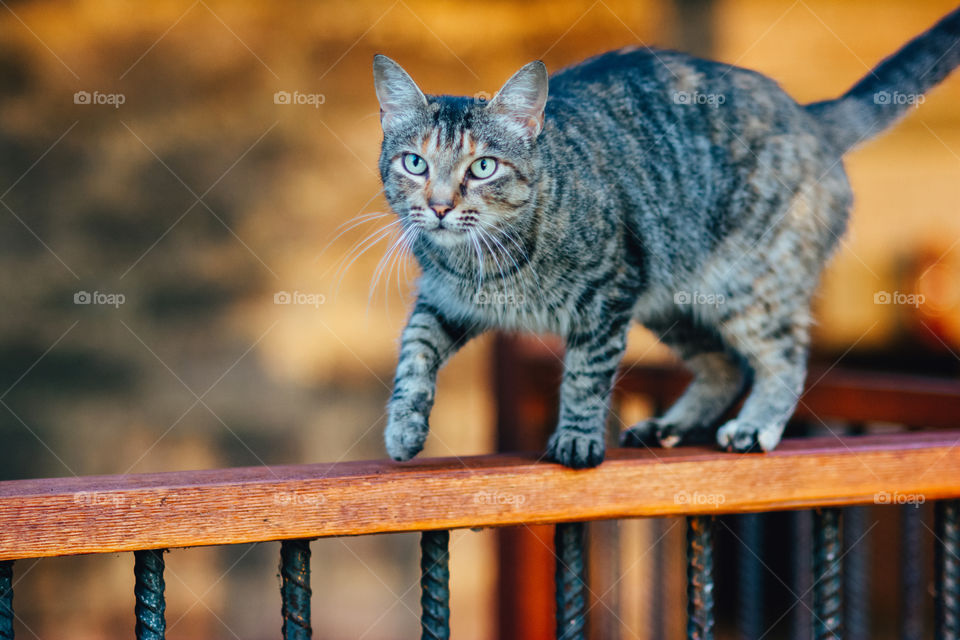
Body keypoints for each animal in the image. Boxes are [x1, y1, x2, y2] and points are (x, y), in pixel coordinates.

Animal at [372, 7, 960, 468]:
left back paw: (755, 425)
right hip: (672, 302)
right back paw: (669, 426)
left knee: (784, 358)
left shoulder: (609, 292)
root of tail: (809, 114)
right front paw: (403, 429)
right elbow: (413, 354)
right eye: (415, 163)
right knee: (725, 367)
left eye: (483, 167)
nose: (440, 206)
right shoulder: (442, 303)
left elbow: (585, 375)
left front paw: (578, 438)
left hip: (748, 286)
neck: (485, 264)